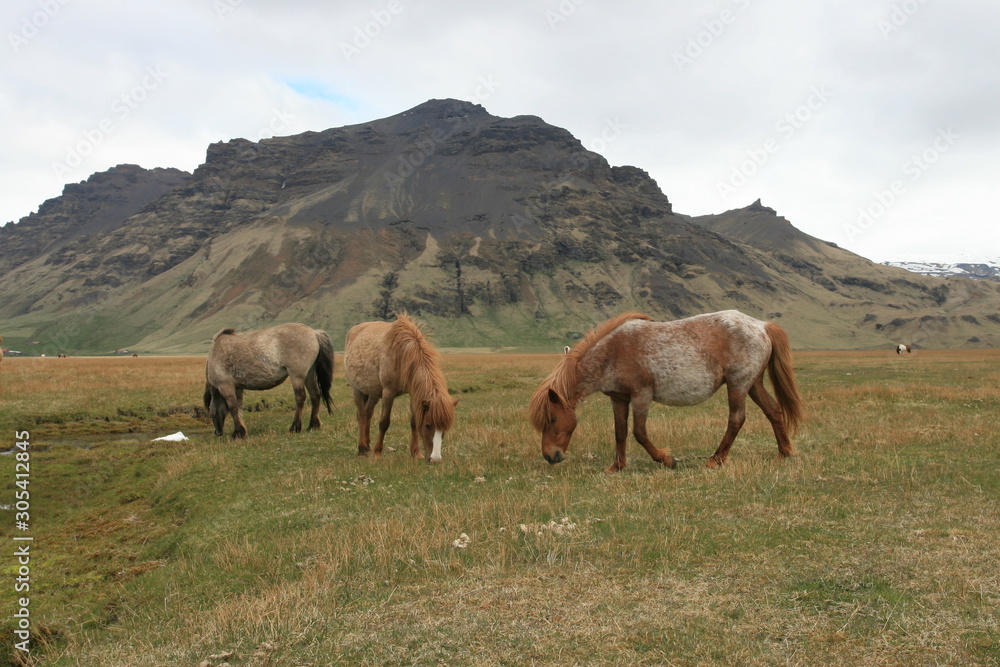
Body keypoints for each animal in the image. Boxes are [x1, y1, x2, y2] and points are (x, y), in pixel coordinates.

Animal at [204, 324, 336, 438]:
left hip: (297, 376)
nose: (217, 433)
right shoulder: (237, 388)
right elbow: (239, 408)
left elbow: (233, 407)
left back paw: (295, 427)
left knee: (300, 397)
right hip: (309, 374)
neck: (215, 355)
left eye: (210, 413)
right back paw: (313, 425)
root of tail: (314, 333)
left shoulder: (226, 386)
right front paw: (241, 430)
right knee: (315, 396)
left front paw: (238, 433)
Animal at [342, 314, 456, 462]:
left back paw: (367, 446)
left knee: (368, 413)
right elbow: (384, 422)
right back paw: (361, 449)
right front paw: (377, 453)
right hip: (357, 389)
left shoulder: (413, 393)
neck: (403, 354)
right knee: (361, 415)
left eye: (444, 428)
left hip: (373, 392)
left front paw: (416, 452)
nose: (435, 458)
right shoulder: (388, 393)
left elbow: (414, 422)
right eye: (428, 425)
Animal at [532, 310, 804, 472]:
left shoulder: (641, 396)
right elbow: (620, 432)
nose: (550, 456)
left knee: (736, 419)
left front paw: (666, 459)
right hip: (753, 384)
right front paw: (617, 466)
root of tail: (762, 326)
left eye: (552, 418)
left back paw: (715, 460)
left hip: (738, 384)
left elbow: (639, 433)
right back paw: (785, 453)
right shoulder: (618, 399)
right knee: (773, 411)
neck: (612, 353)